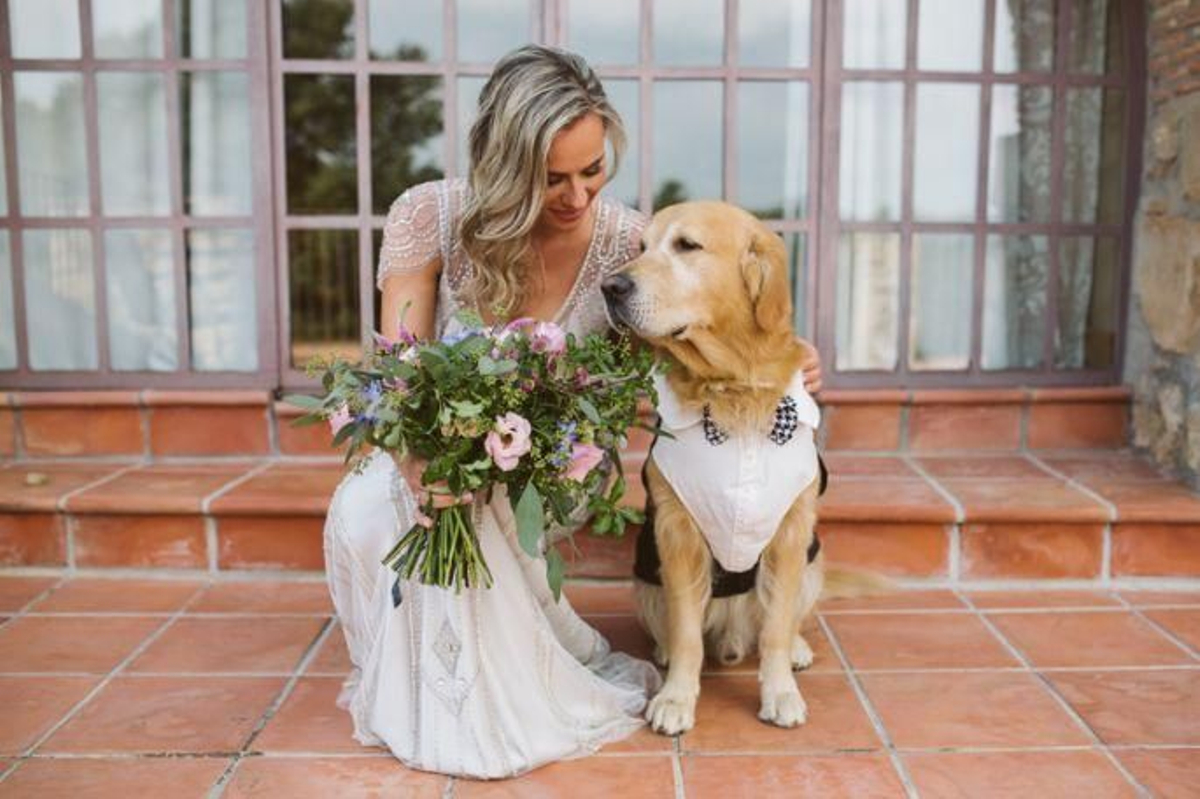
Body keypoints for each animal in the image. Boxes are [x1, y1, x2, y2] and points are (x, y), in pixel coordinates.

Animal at [600, 200, 825, 734]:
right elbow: (686, 633)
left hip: (814, 561)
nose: (610, 287)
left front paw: (780, 691)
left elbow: (777, 628)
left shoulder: (791, 533)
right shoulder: (676, 532)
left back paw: (798, 650)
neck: (731, 388)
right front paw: (676, 698)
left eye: (687, 246)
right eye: (641, 247)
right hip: (645, 579)